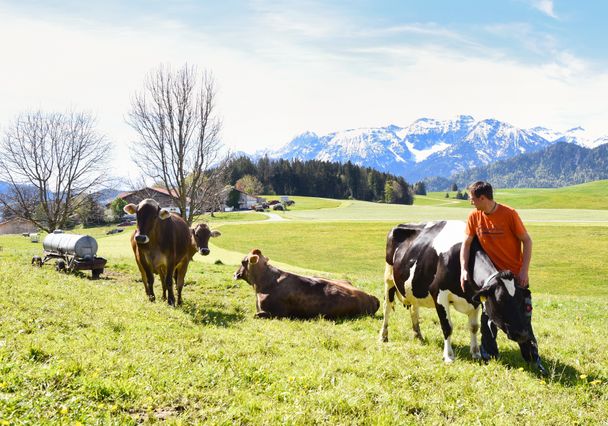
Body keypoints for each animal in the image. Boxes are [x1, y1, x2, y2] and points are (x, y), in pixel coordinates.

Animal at [380, 221, 548, 372]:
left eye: (523, 302)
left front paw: (476, 353)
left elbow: (474, 327)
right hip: (388, 279)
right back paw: (383, 336)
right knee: (387, 308)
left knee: (414, 309)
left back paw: (418, 336)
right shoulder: (439, 294)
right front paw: (448, 356)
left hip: (411, 288)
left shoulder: (475, 300)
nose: (523, 334)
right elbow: (447, 327)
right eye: (500, 300)